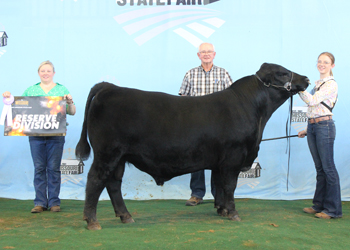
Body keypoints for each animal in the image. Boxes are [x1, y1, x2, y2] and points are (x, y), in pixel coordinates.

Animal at [76, 63, 308, 230]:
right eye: (283, 73)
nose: (305, 79)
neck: (253, 111)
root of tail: (110, 87)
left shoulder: (220, 161)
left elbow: (219, 185)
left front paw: (222, 210)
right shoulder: (234, 156)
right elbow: (230, 186)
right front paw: (233, 213)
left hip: (120, 157)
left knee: (113, 184)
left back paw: (126, 216)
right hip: (107, 153)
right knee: (95, 180)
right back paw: (92, 221)